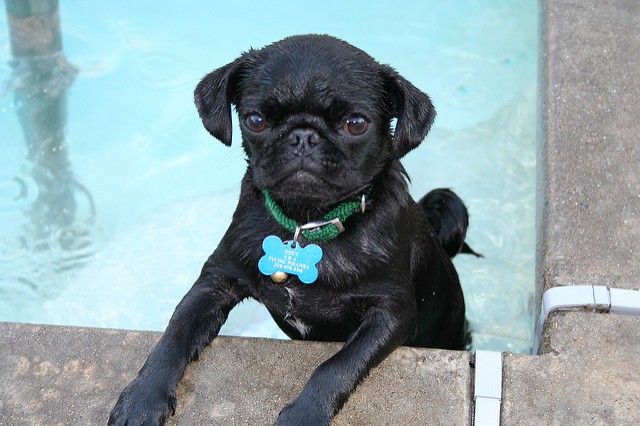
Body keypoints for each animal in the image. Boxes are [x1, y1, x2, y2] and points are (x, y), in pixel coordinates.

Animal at [109, 34, 476, 426]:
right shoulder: (216, 281)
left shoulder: (390, 313)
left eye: (356, 123)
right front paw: (143, 397)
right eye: (255, 120)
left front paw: (304, 414)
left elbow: (337, 365)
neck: (306, 223)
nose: (303, 136)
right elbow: (175, 333)